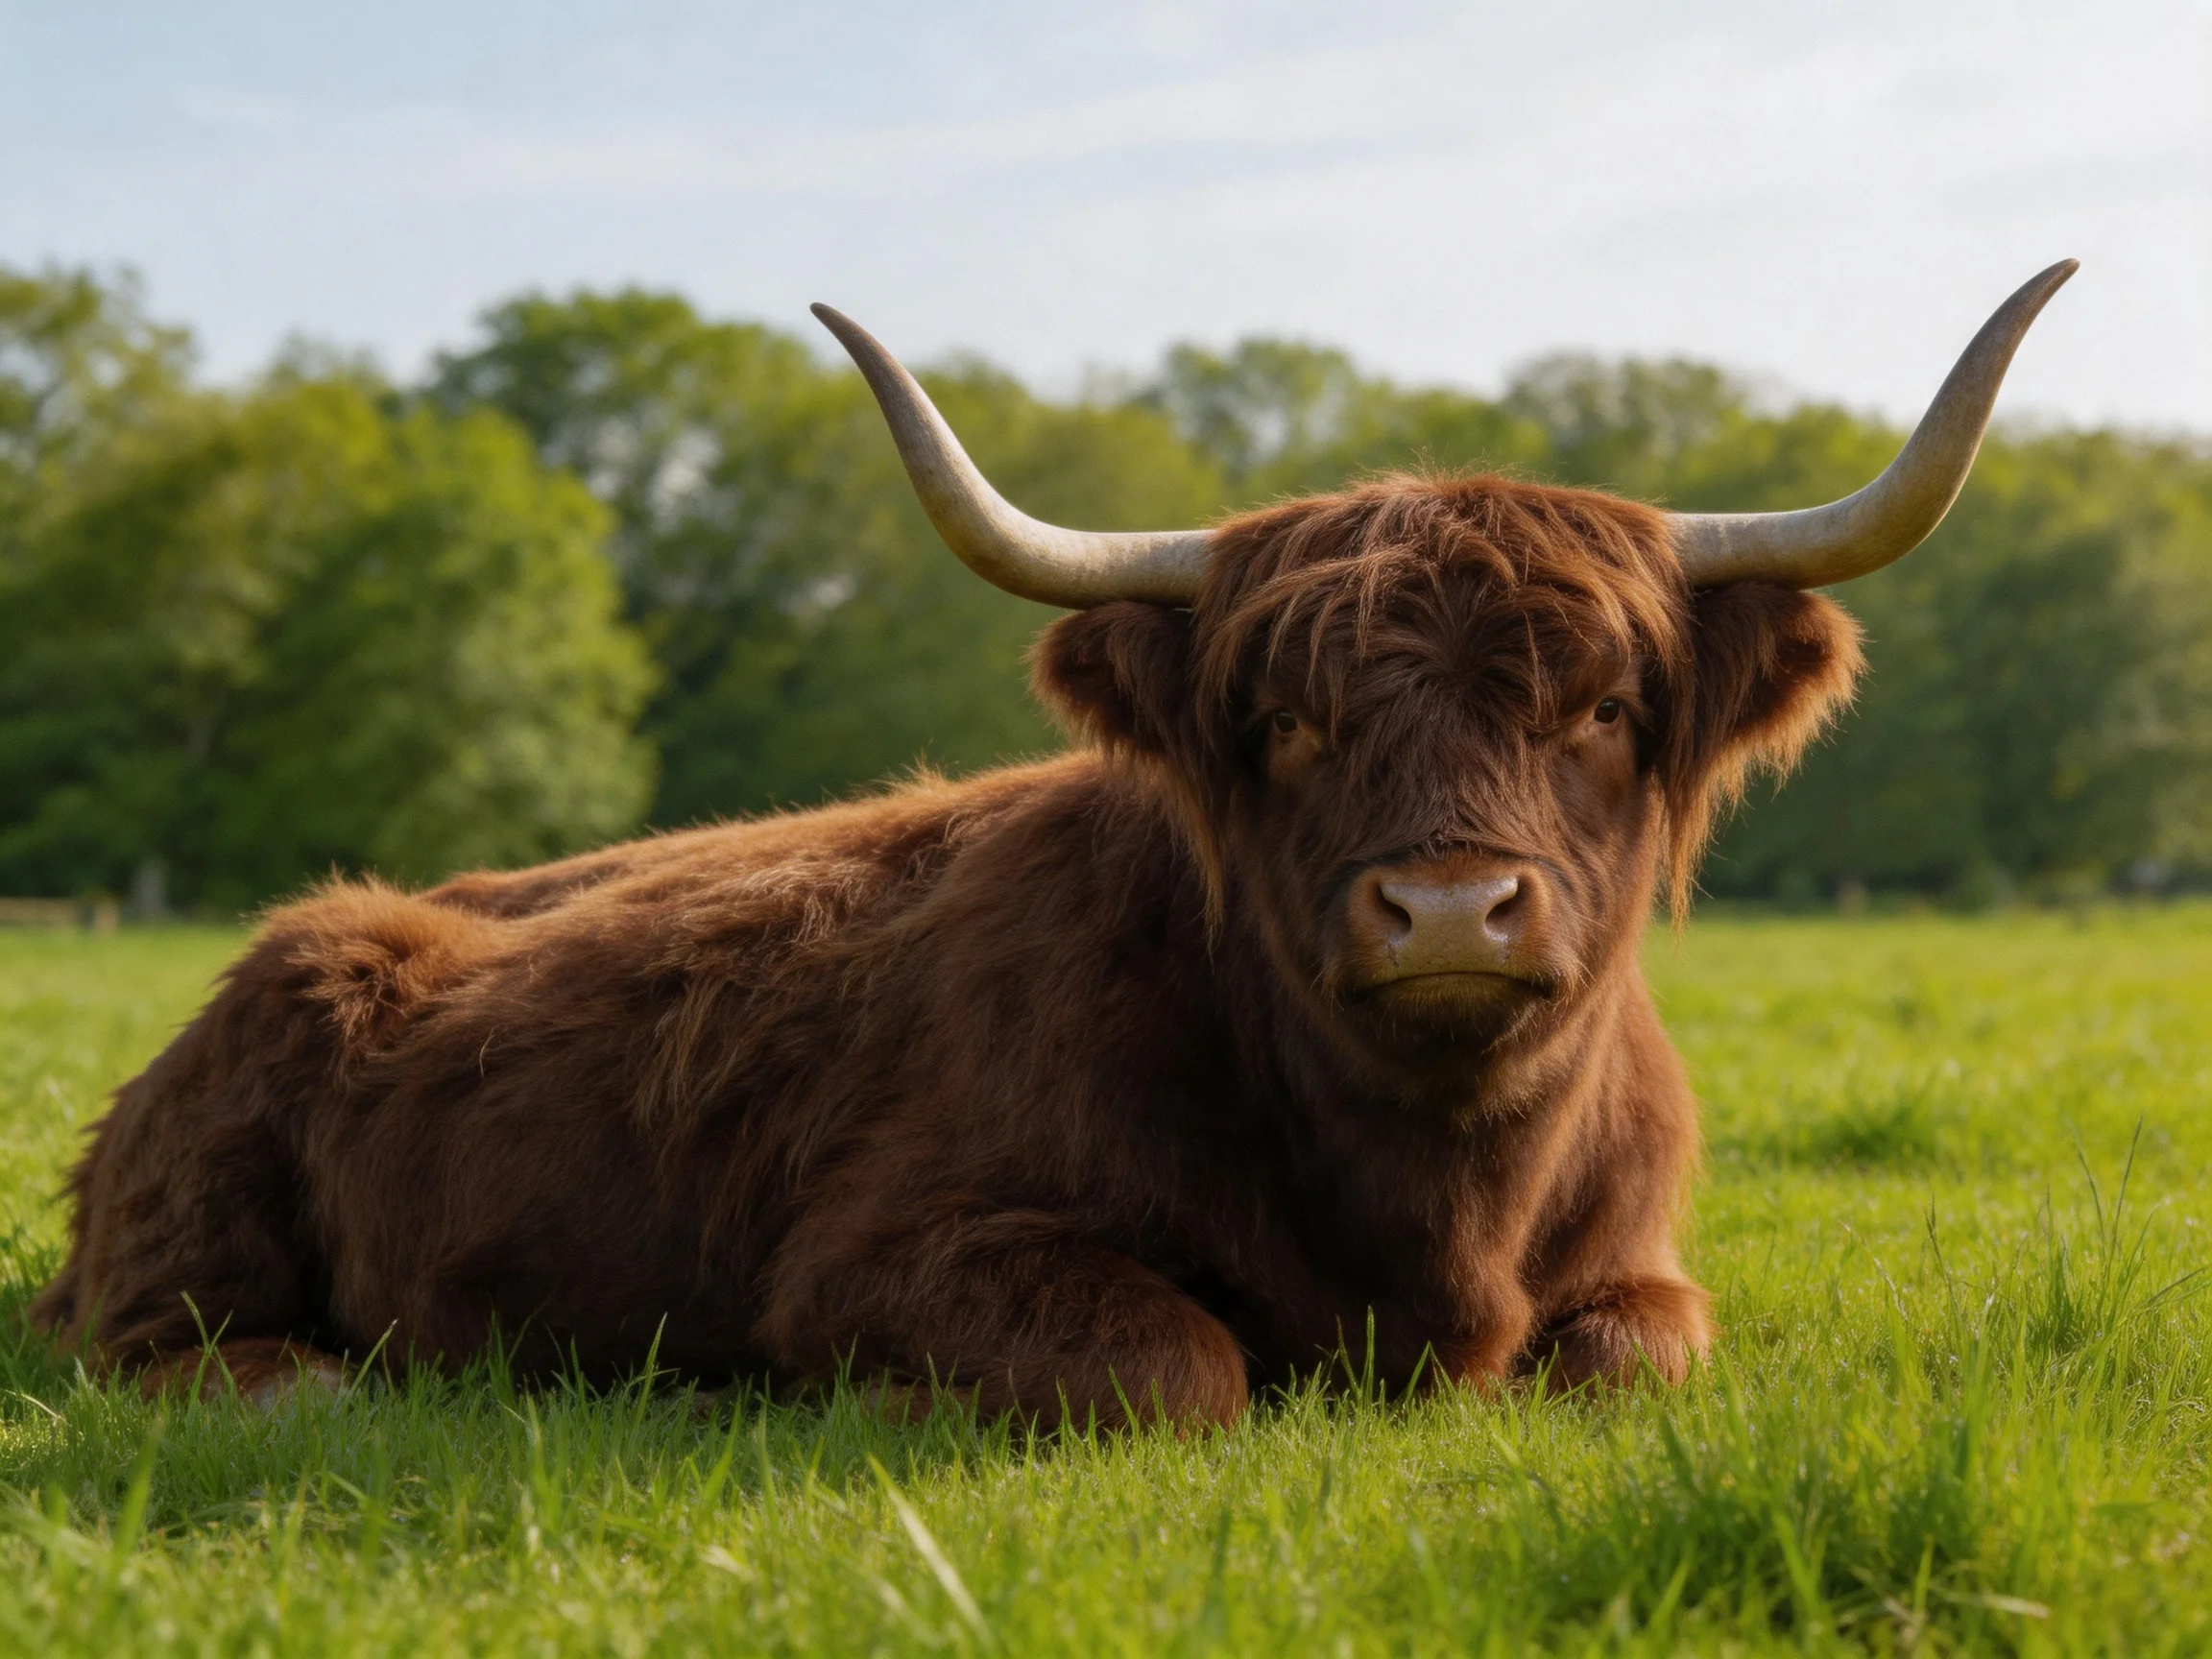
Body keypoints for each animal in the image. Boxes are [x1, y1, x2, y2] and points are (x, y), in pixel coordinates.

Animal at [32, 263, 2075, 1426]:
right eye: (1284, 720)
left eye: (1595, 708)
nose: (1444, 904)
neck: (1434, 1210)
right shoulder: (872, 1250)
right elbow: (1182, 1366)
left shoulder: (1636, 1265)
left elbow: (1631, 1353)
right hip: (218, 1151)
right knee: (145, 1332)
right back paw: (289, 1384)